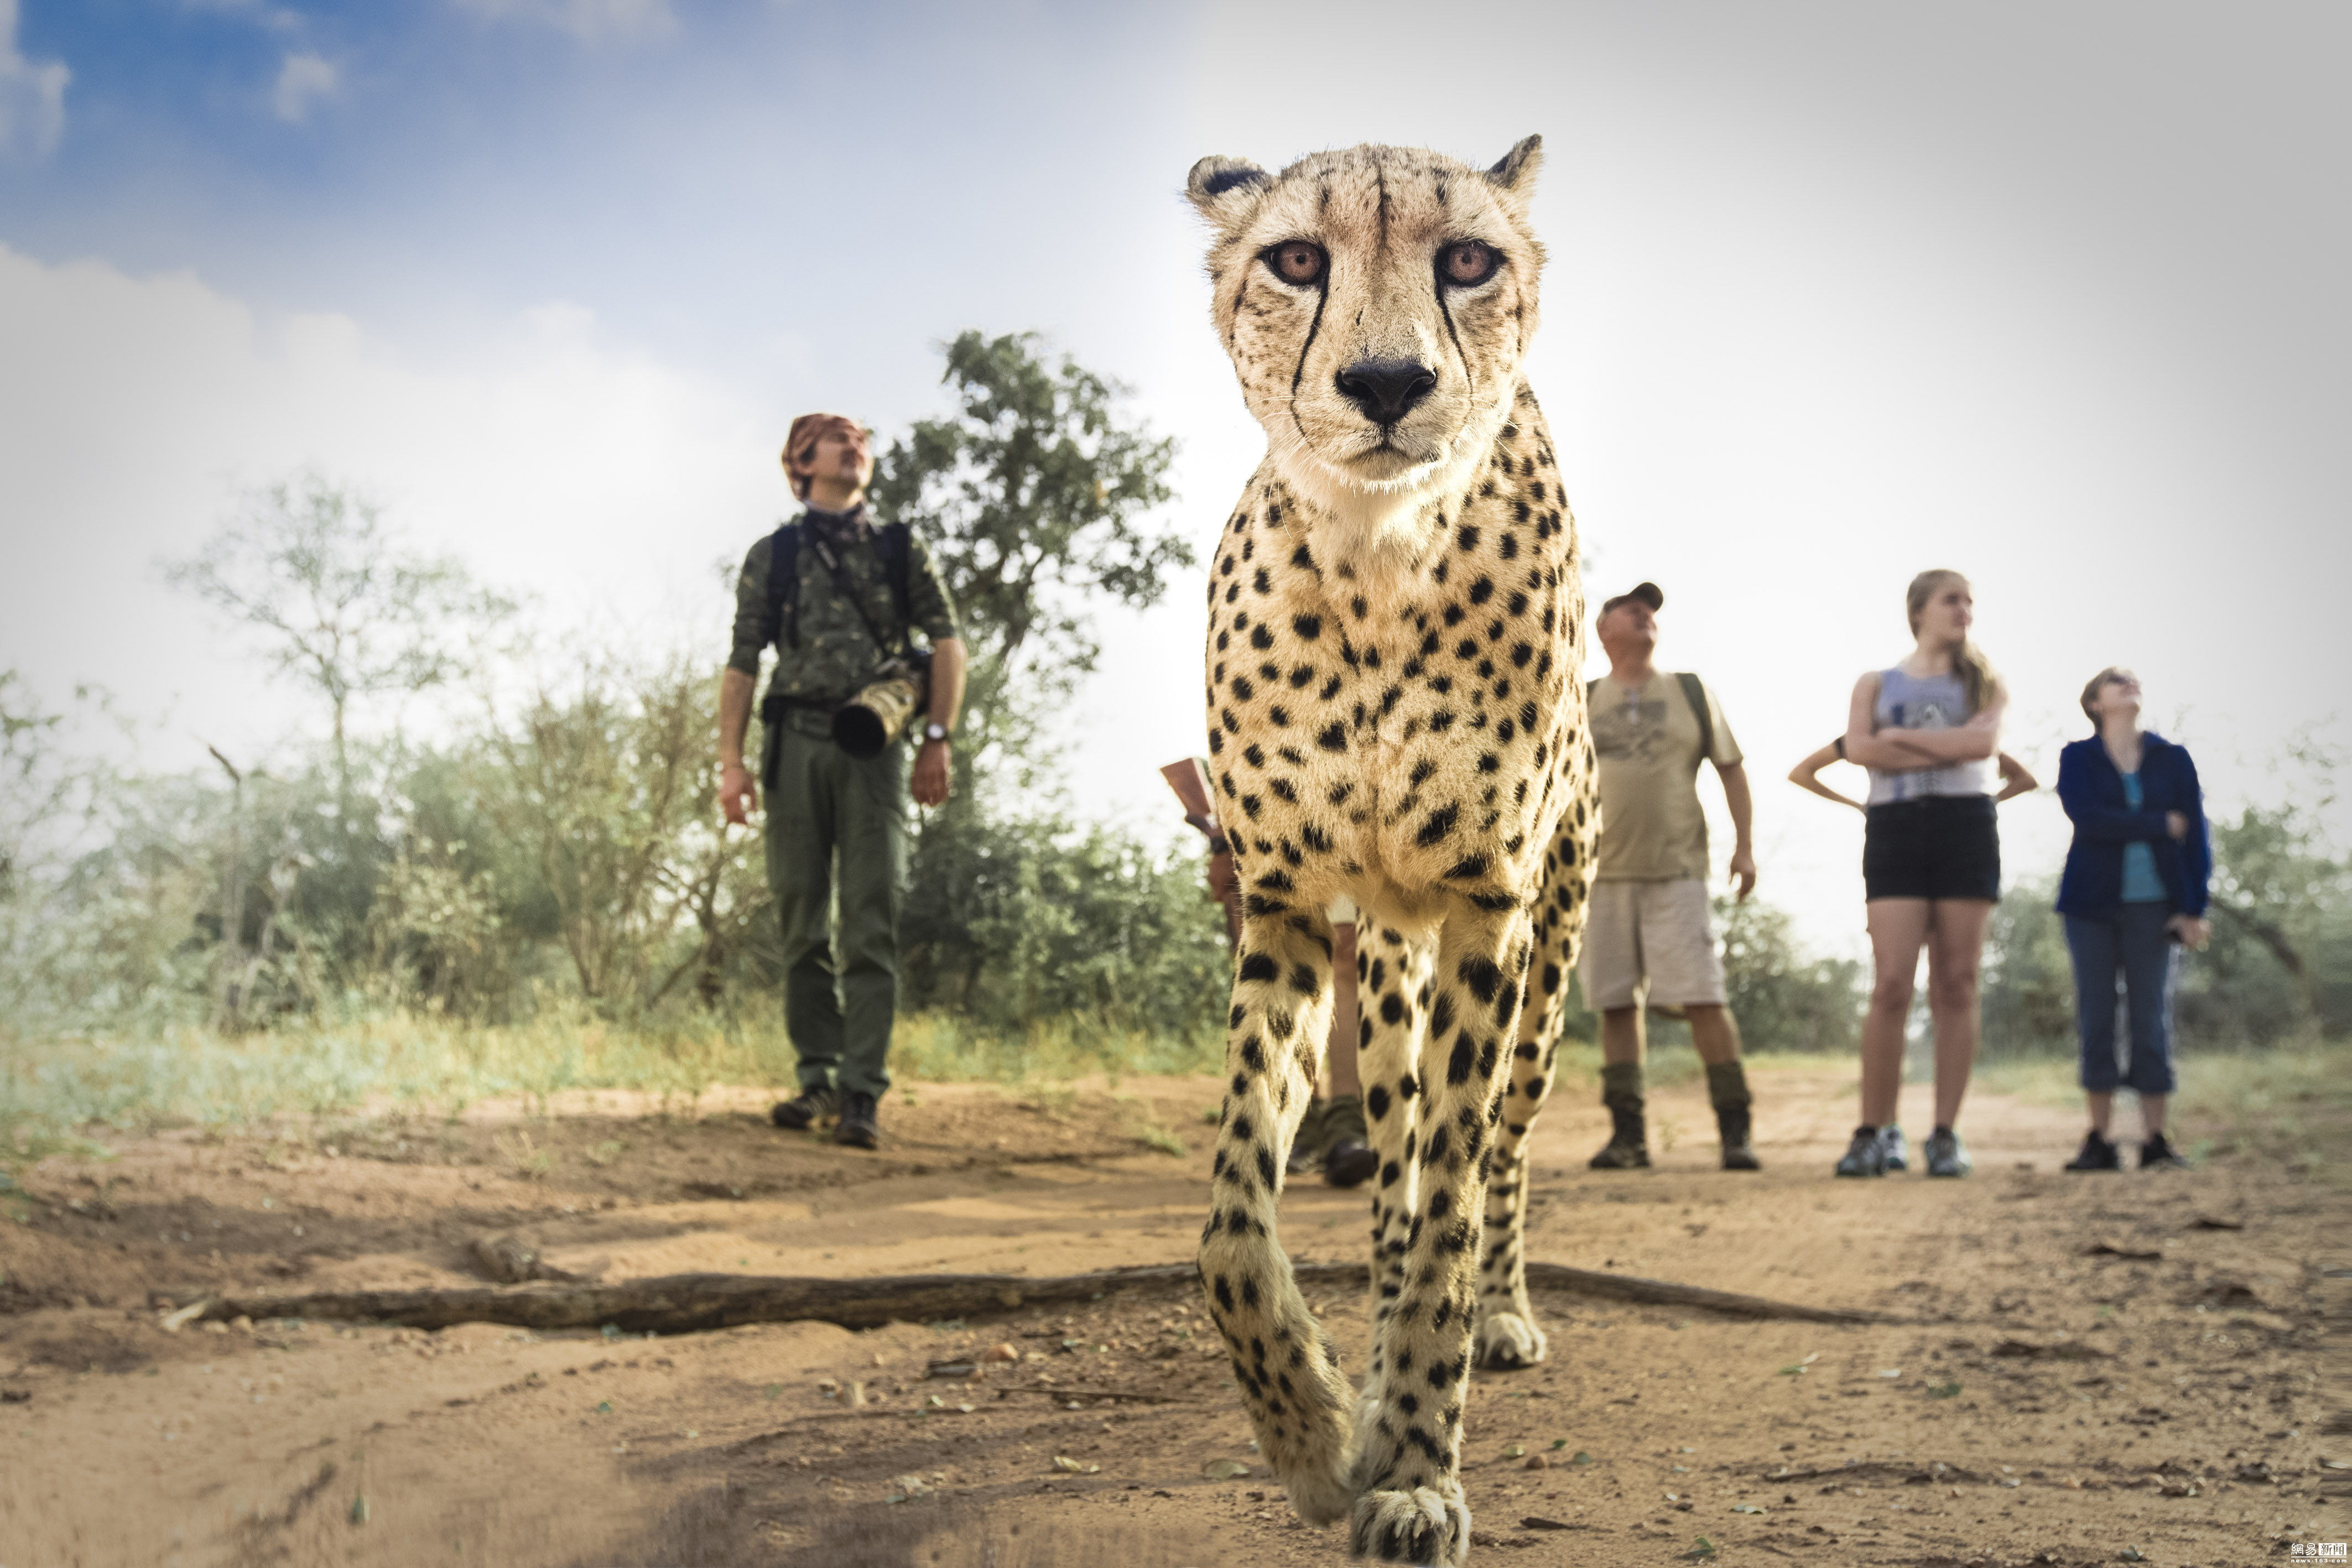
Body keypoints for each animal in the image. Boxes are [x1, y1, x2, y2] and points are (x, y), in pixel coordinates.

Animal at [1185, 141, 1609, 1561]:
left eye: (1467, 258)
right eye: (1293, 258)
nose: (1385, 384)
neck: (1378, 555)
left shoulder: (1486, 908)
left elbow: (1454, 1211)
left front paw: (1418, 1464)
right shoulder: (1281, 906)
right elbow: (1229, 1225)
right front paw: (1318, 1435)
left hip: (1546, 962)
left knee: (1498, 1152)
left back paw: (1499, 1315)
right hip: (1383, 965)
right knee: (1395, 1149)